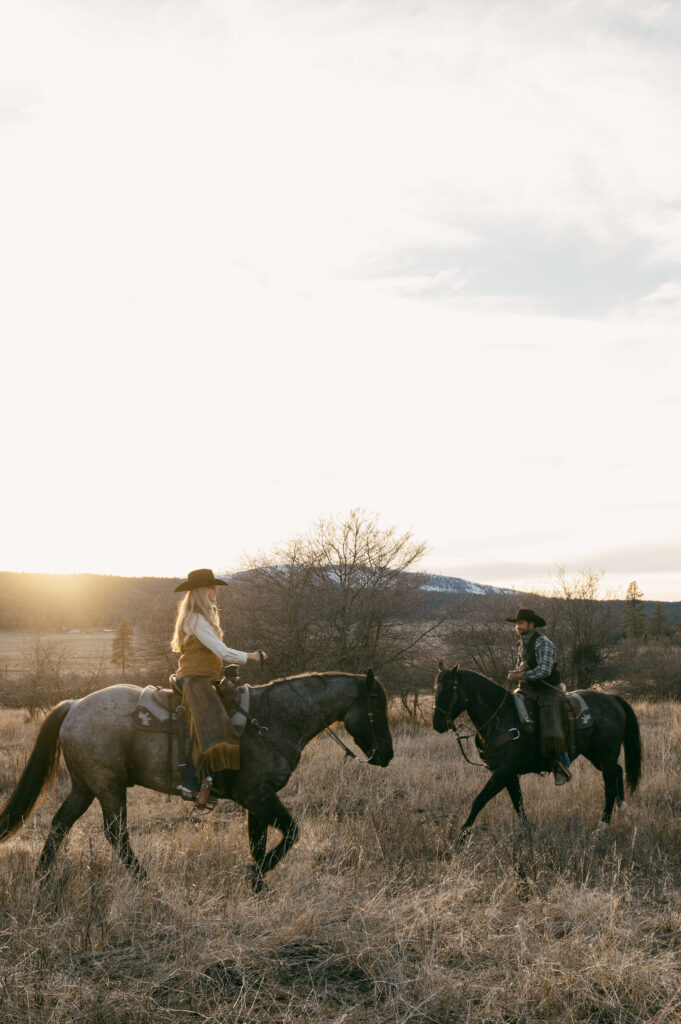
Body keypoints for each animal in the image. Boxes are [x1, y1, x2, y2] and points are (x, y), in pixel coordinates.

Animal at [1, 671, 393, 888]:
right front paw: (255, 877)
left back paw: (40, 879)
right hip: (109, 787)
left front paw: (257, 885)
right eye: (377, 710)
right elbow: (292, 833)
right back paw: (146, 883)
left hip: (85, 788)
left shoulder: (256, 801)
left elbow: (258, 843)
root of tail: (75, 705)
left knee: (58, 825)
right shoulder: (259, 795)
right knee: (116, 834)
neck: (273, 719)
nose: (387, 755)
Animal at [432, 663, 639, 839]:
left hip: (607, 752)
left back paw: (602, 827)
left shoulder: (502, 772)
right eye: (436, 689)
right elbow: (518, 803)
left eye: (451, 689)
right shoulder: (508, 774)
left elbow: (480, 800)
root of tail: (612, 698)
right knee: (618, 771)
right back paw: (623, 808)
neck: (500, 717)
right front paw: (527, 832)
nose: (437, 724)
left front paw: (460, 839)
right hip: (595, 755)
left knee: (609, 784)